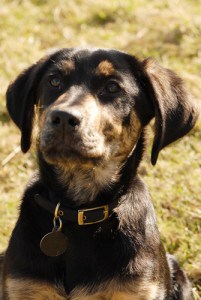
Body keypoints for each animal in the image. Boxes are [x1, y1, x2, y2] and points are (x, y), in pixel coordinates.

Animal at [1, 48, 198, 298]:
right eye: (54, 81)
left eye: (113, 87)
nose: (62, 117)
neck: (78, 210)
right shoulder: (23, 286)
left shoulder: (138, 288)